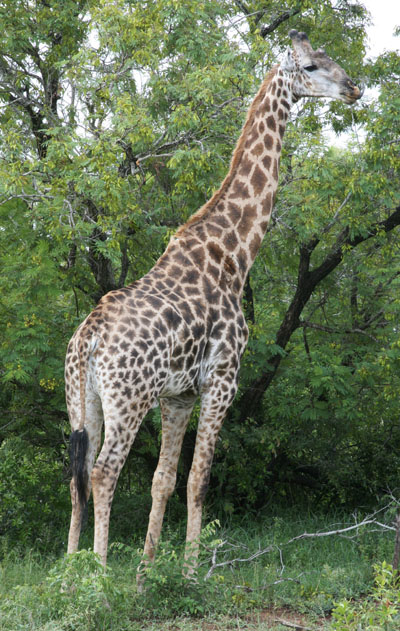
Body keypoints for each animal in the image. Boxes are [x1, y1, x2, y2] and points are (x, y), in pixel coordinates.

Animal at [65, 30, 362, 584]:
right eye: (312, 66)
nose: (354, 88)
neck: (235, 252)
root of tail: (89, 337)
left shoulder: (179, 394)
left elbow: (163, 479)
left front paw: (147, 573)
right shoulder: (223, 378)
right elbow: (198, 481)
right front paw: (189, 574)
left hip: (82, 398)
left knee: (78, 472)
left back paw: (70, 576)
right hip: (129, 398)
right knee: (104, 471)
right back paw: (98, 578)